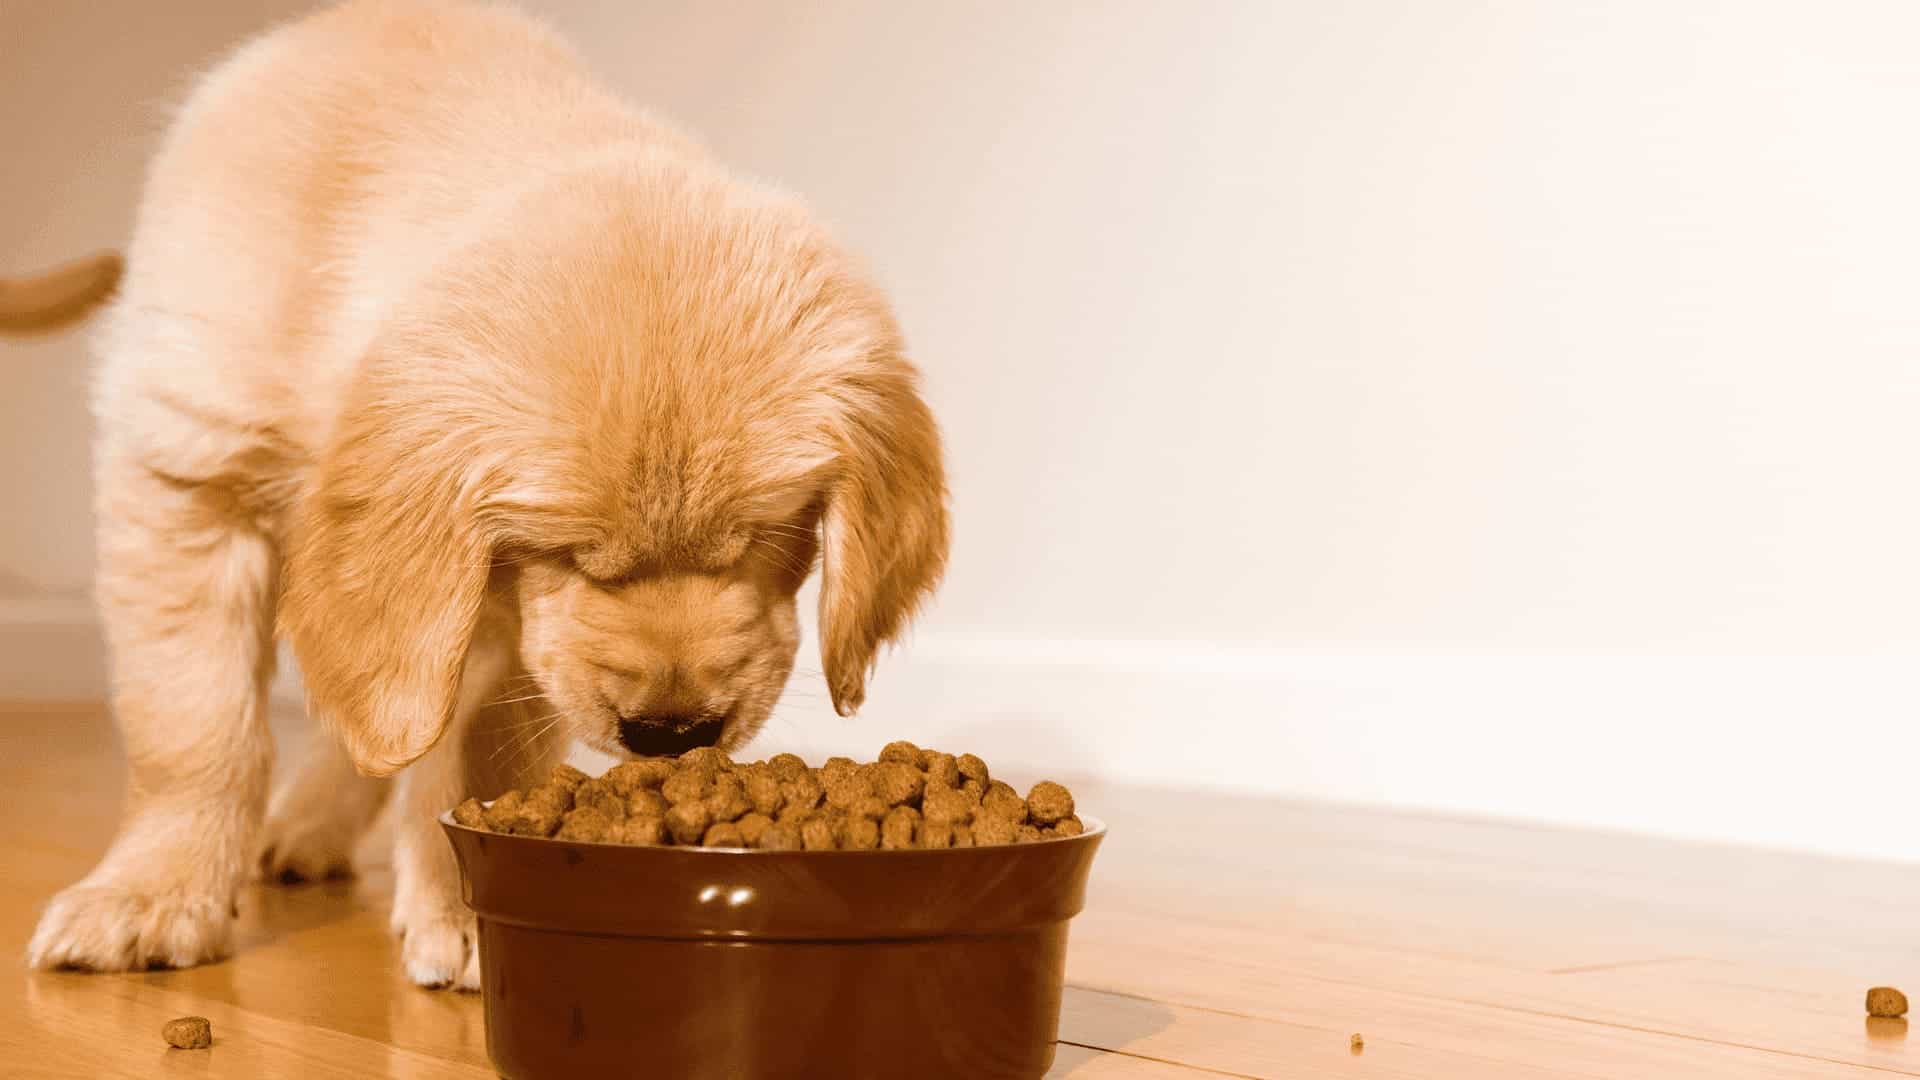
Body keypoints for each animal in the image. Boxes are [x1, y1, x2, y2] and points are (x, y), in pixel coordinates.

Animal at [26, 0, 956, 991]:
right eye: (566, 551)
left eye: (770, 536)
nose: (673, 732)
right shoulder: (187, 471)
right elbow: (193, 725)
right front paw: (150, 895)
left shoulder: (498, 620)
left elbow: (472, 749)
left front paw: (465, 905)